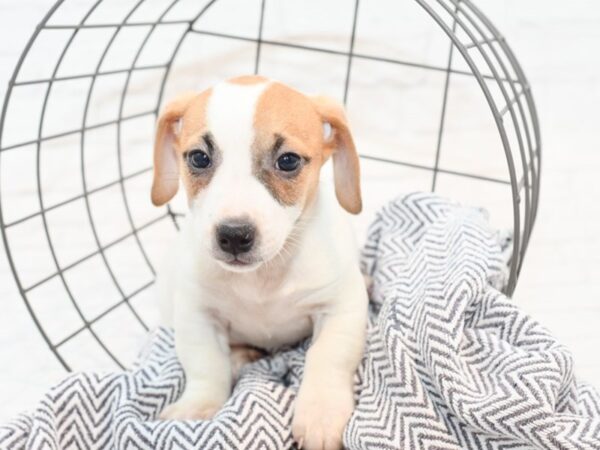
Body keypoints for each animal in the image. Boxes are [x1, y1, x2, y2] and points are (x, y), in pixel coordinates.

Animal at [152, 75, 368, 448]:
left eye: (288, 161)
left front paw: (321, 414)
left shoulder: (342, 307)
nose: (234, 235)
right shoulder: (197, 315)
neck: (263, 277)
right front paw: (199, 405)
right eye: (198, 158)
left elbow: (327, 357)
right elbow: (205, 363)